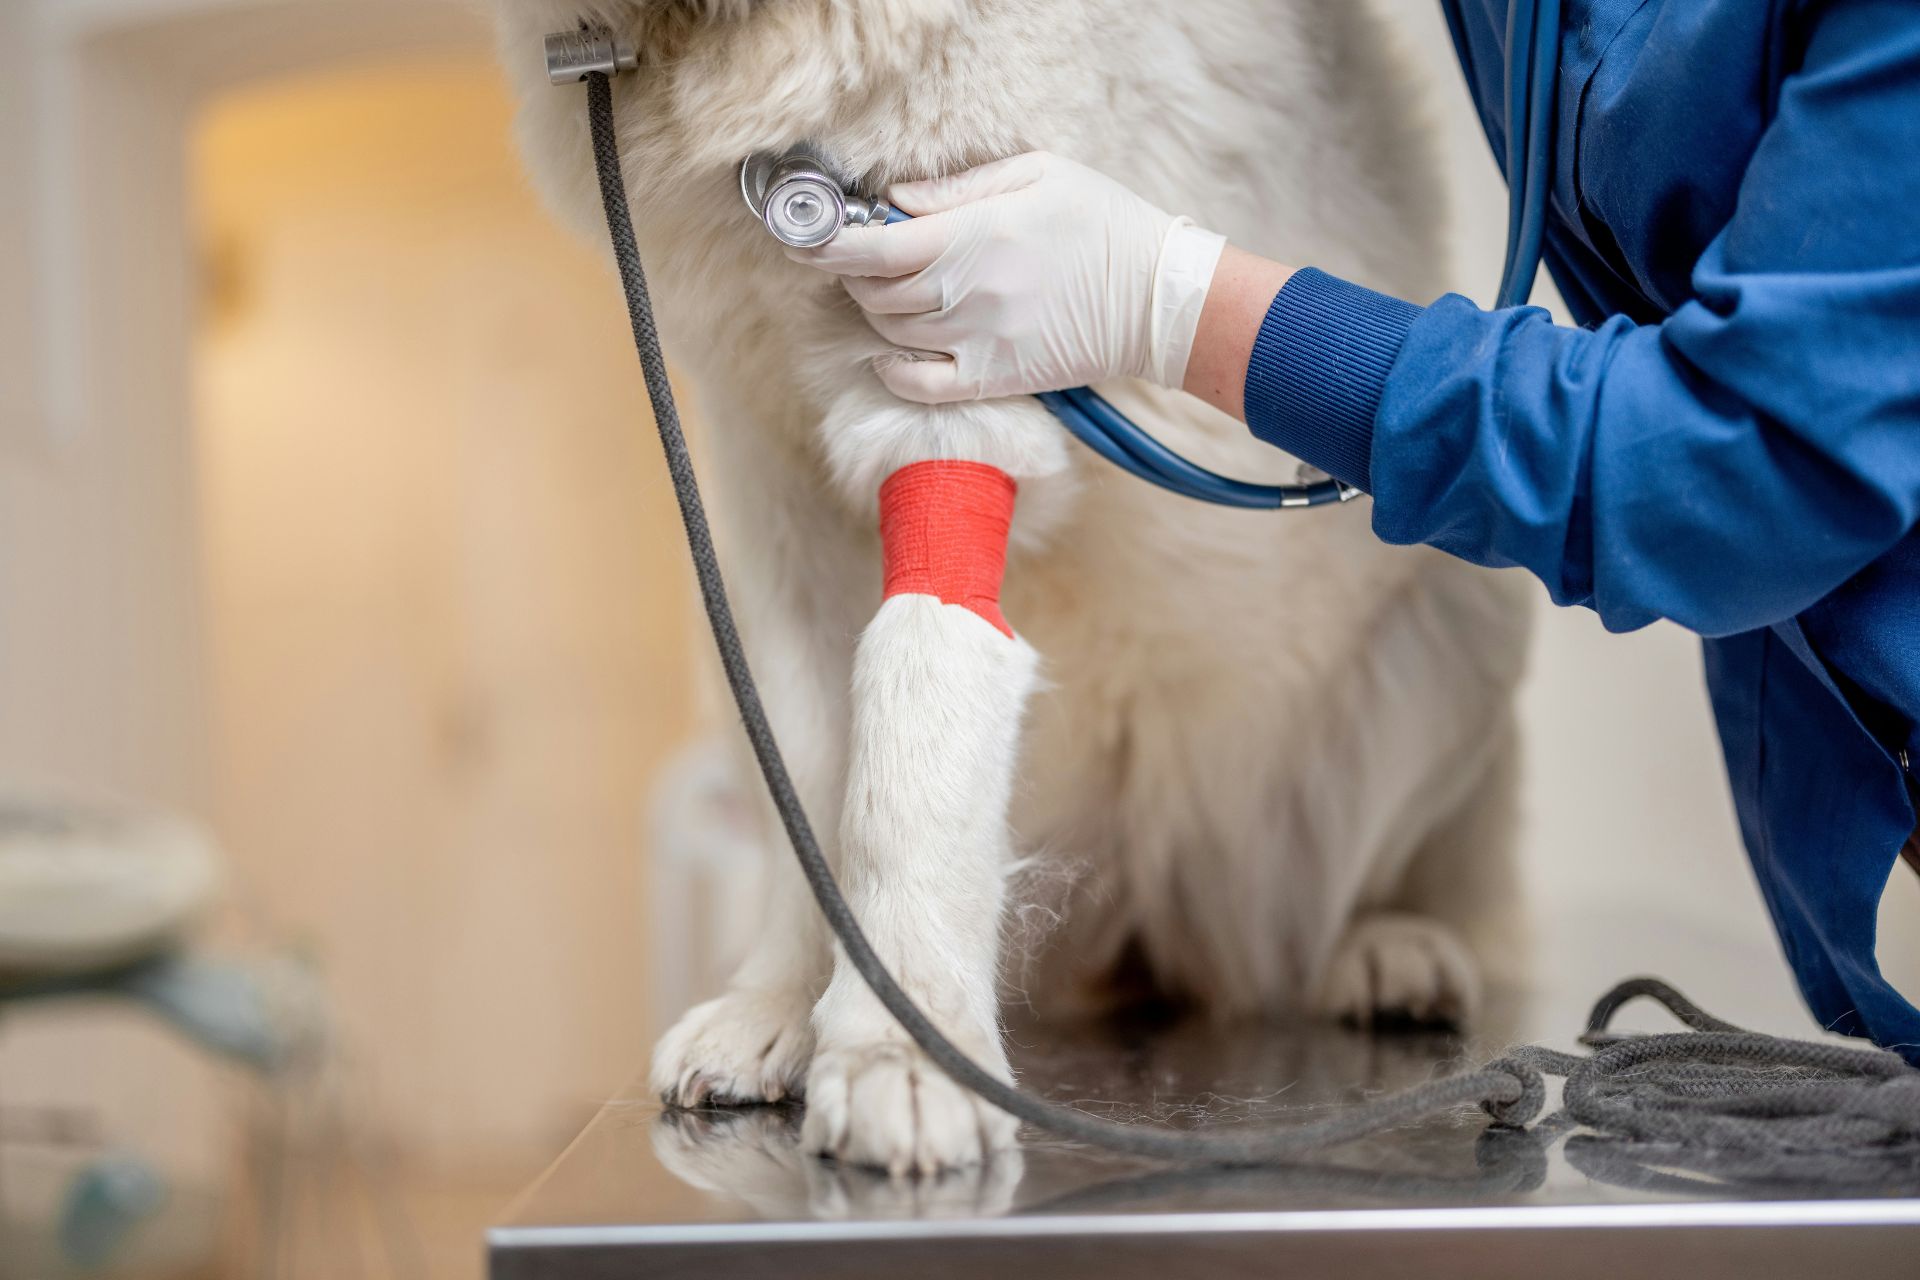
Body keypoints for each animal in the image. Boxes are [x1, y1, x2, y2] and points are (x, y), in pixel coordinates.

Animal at [495, 0, 1528, 1174]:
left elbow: (911, 715)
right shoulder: (767, 485)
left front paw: (906, 1046)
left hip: (1464, 605)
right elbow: (805, 769)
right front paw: (785, 1005)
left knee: (1369, 902)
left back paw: (1387, 946)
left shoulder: (953, 356)